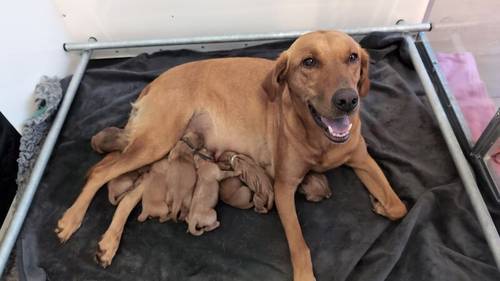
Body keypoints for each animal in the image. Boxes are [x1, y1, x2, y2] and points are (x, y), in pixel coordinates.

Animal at [55, 29, 406, 278]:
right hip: (157, 141)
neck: (320, 139)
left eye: (352, 57)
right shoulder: (283, 188)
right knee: (99, 172)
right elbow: (300, 248)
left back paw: (108, 243)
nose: (347, 100)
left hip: (162, 152)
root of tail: (154, 82)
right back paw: (71, 220)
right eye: (309, 62)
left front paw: (379, 203)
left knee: (129, 193)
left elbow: (398, 207)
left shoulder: (362, 160)